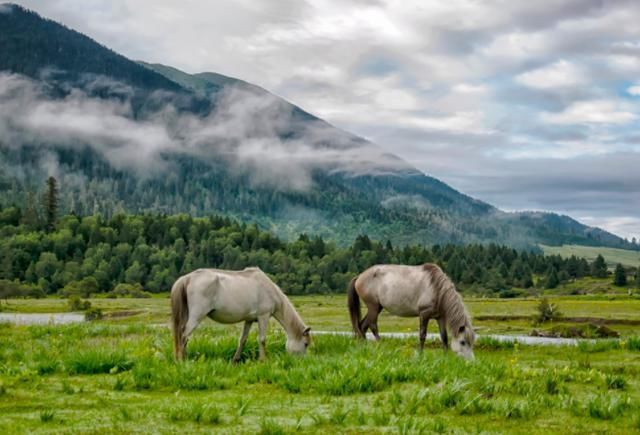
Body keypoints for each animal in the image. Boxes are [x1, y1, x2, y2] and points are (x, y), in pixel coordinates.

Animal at [170, 268, 310, 362]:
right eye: (306, 344)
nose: (302, 362)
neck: (269, 289)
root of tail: (187, 278)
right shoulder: (263, 317)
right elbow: (262, 339)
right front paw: (263, 360)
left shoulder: (249, 320)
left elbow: (243, 340)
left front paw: (235, 360)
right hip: (196, 317)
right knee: (184, 336)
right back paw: (182, 360)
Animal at [344, 262, 476, 362]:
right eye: (462, 342)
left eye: (471, 342)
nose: (471, 362)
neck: (436, 289)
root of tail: (359, 277)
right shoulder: (424, 314)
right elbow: (422, 335)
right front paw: (420, 355)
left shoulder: (440, 317)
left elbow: (444, 337)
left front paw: (445, 357)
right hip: (373, 307)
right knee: (372, 326)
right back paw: (381, 348)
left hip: (377, 308)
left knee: (362, 326)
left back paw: (363, 348)